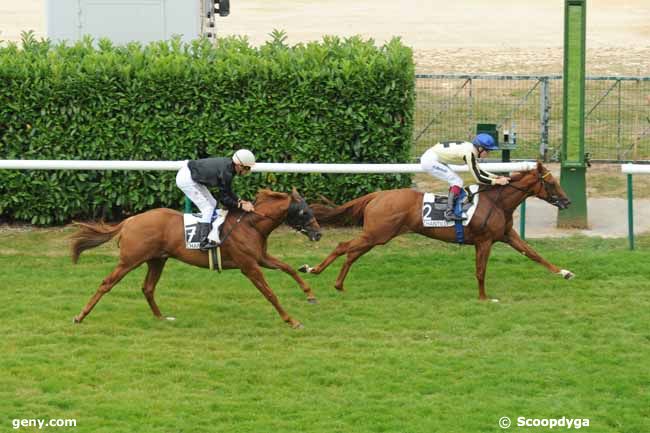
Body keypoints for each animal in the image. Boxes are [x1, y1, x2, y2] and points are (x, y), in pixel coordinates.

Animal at [71, 189, 322, 328]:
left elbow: (288, 268)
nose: (318, 233)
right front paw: (292, 321)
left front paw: (310, 294)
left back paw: (161, 317)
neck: (251, 224)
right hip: (130, 260)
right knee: (107, 283)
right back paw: (80, 316)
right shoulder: (249, 266)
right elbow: (270, 293)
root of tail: (129, 220)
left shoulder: (261, 258)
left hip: (157, 259)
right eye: (303, 211)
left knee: (148, 288)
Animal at [298, 160, 572, 298]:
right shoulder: (484, 241)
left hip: (377, 236)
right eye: (551, 182)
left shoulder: (507, 236)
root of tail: (378, 195)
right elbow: (481, 271)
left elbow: (534, 254)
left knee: (352, 254)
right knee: (343, 246)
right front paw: (484, 298)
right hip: (377, 233)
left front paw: (565, 272)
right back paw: (313, 269)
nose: (567, 201)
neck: (497, 201)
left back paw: (338, 284)